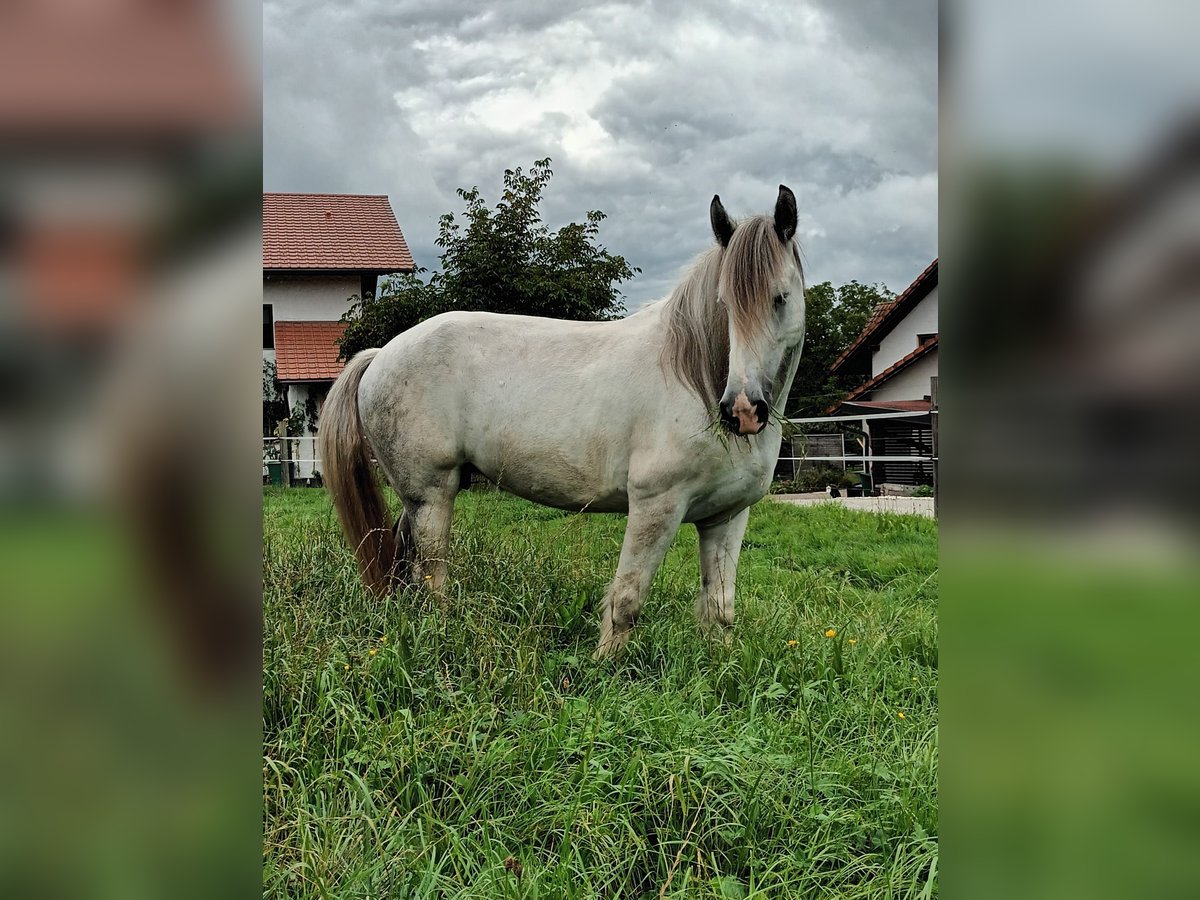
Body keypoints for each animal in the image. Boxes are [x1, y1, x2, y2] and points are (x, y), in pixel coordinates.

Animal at [319, 187, 806, 657]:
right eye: (724, 304)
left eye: (780, 298)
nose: (742, 410)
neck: (695, 381)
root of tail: (382, 353)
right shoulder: (656, 507)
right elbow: (627, 600)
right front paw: (605, 669)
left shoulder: (726, 518)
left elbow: (719, 609)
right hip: (433, 495)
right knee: (431, 575)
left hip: (417, 498)